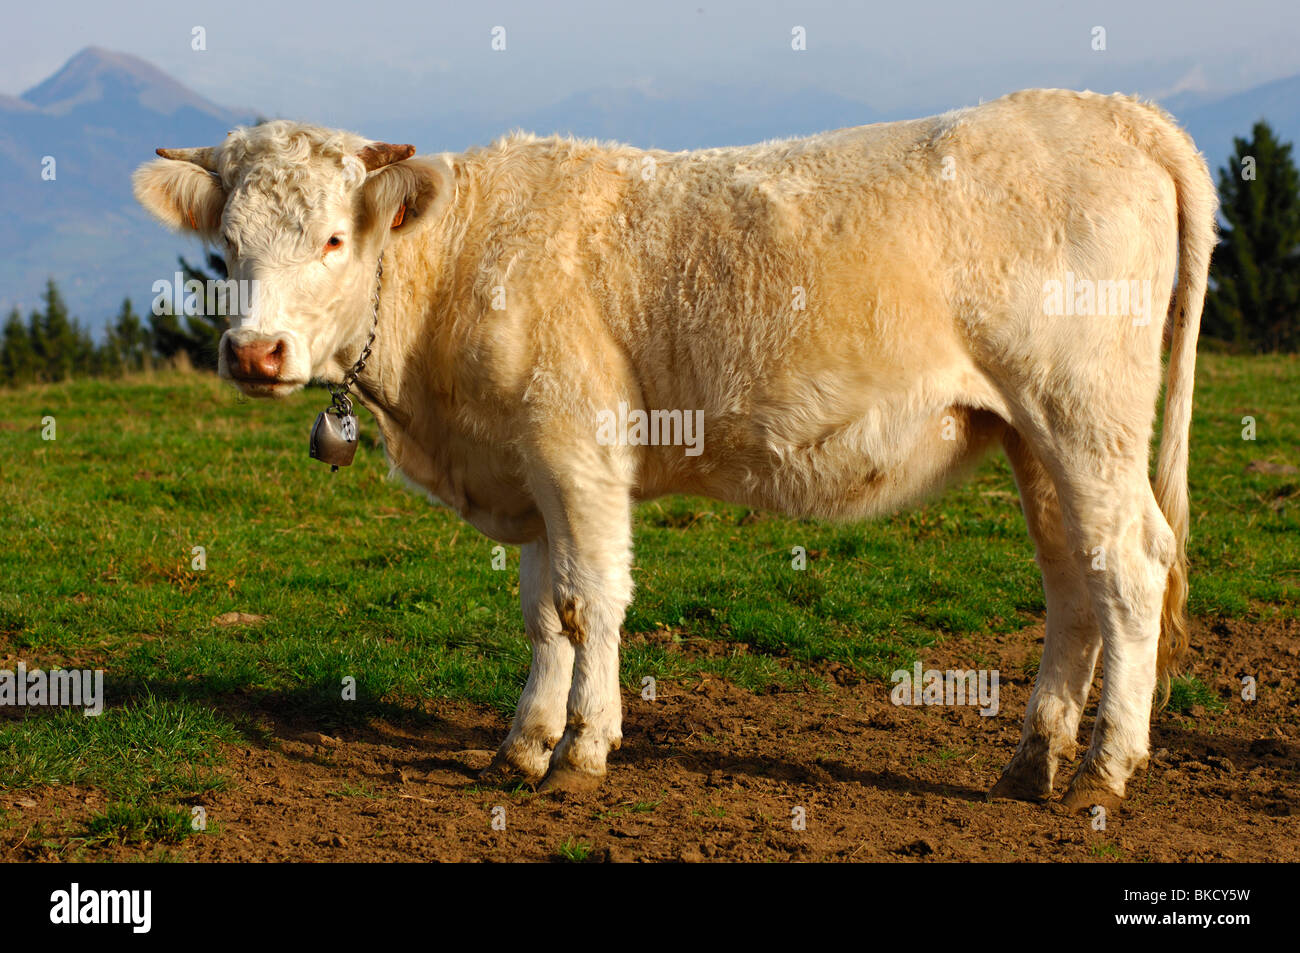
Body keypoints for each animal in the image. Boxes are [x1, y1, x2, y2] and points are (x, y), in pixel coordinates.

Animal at [137, 87, 1211, 811]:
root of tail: (1111, 110)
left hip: (1086, 419)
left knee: (1130, 568)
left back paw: (1106, 770)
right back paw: (1034, 761)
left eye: (331, 238)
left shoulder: (576, 450)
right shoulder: (529, 469)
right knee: (1074, 578)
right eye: (227, 249)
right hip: (1037, 437)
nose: (254, 352)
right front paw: (523, 744)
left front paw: (583, 749)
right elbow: (543, 613)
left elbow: (591, 601)